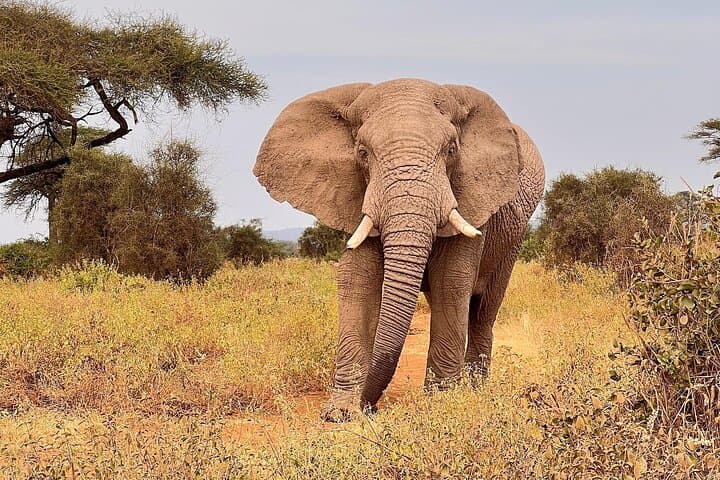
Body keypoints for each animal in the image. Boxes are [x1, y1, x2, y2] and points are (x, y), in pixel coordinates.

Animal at [254, 78, 545, 421]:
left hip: (512, 238)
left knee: (483, 309)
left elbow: (451, 282)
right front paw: (340, 413)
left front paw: (443, 404)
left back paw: (476, 390)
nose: (370, 407)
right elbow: (357, 281)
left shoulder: (472, 198)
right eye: (362, 153)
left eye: (451, 150)